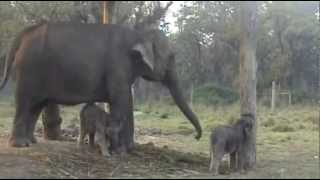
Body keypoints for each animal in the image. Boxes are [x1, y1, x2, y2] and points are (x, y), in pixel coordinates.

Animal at [0, 9, 202, 153]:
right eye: (172, 57)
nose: (197, 137)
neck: (138, 34)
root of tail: (25, 33)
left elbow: (123, 100)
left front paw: (125, 148)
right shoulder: (118, 65)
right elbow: (122, 100)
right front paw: (123, 149)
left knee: (36, 106)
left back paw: (30, 142)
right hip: (30, 69)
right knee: (25, 102)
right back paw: (20, 145)